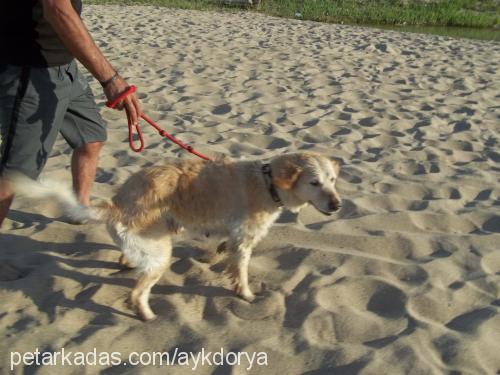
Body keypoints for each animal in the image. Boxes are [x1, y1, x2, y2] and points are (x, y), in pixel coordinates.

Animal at [12, 153, 340, 320]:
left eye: (333, 180)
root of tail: (116, 205)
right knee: (136, 293)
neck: (267, 181)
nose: (337, 205)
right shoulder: (243, 241)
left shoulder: (224, 233)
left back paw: (126, 265)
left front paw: (209, 257)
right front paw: (246, 295)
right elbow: (241, 274)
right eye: (314, 183)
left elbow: (215, 248)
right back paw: (147, 315)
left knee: (127, 260)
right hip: (159, 256)